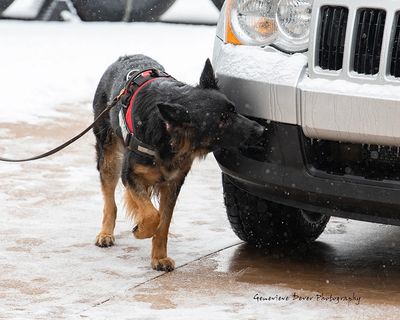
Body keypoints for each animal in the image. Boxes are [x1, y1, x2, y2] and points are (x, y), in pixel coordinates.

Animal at [92, 54, 264, 270]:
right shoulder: (131, 176)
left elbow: (163, 221)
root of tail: (125, 57)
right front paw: (141, 231)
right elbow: (152, 215)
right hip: (108, 158)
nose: (261, 130)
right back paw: (106, 233)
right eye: (222, 120)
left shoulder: (173, 183)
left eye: (234, 109)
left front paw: (159, 257)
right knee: (109, 200)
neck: (166, 131)